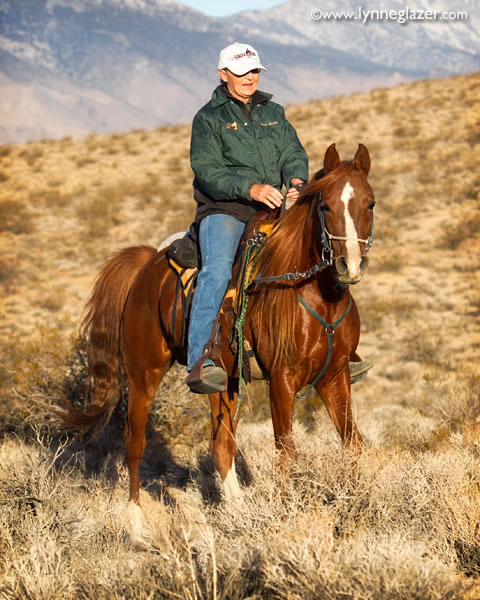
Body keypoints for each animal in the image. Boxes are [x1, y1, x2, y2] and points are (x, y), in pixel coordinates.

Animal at [61, 144, 376, 502]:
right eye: (325, 205)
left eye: (370, 203)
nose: (350, 265)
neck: (315, 294)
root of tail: (146, 266)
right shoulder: (282, 378)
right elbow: (286, 451)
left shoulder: (334, 375)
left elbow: (352, 442)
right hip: (144, 373)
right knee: (135, 443)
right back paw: (135, 516)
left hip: (225, 381)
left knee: (221, 444)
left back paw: (236, 509)